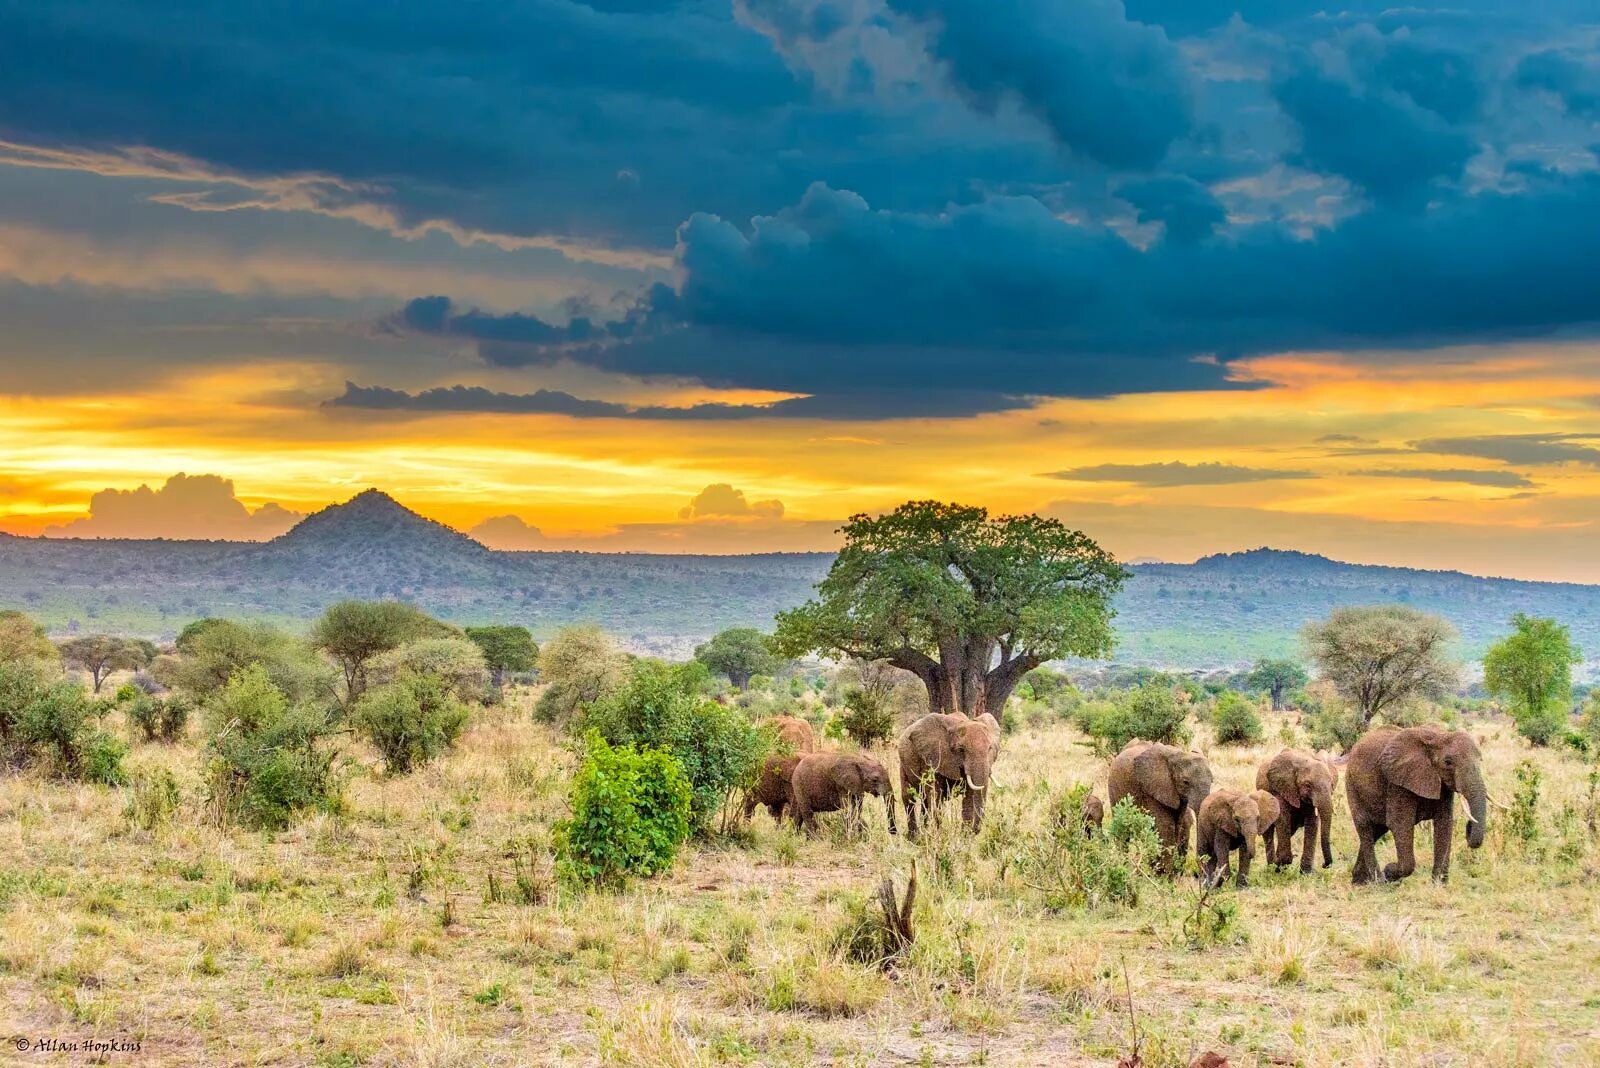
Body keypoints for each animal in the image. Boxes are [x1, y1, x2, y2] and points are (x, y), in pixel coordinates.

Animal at [1113, 738, 1209, 869]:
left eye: (1212, 780)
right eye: (1185, 782)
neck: (1178, 754)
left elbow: (1177, 827)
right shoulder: (1151, 790)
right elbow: (1165, 827)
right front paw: (1163, 873)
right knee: (1123, 833)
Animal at [1350, 725, 1484, 882]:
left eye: (1480, 759)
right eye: (1448, 762)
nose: (1469, 825)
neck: (1439, 736)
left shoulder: (1442, 787)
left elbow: (1444, 823)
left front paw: (1439, 884)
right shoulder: (1398, 783)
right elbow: (1400, 824)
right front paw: (1389, 870)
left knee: (1377, 830)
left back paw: (1360, 881)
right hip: (1352, 785)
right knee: (1364, 827)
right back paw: (1379, 882)